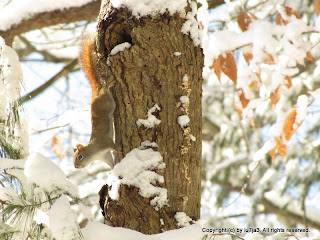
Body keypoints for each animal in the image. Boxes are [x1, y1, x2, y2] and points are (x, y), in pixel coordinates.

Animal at [73, 35, 115, 169]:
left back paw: (110, 82)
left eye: (80, 156)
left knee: (106, 88)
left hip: (108, 102)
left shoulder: (104, 143)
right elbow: (111, 163)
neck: (94, 154)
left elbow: (114, 146)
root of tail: (96, 92)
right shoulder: (105, 156)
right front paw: (114, 169)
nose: (76, 166)